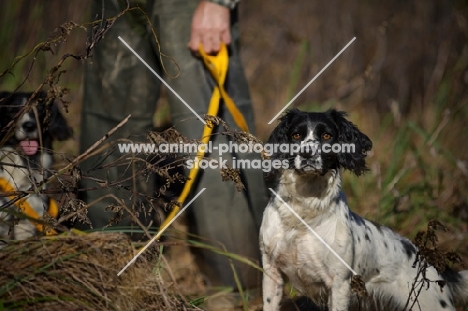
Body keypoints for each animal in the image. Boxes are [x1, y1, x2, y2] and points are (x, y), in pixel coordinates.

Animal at [260, 108, 468, 310]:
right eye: (296, 135)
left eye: (327, 136)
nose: (307, 153)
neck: (303, 212)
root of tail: (427, 260)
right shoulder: (272, 273)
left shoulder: (339, 284)